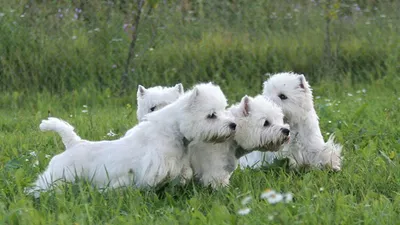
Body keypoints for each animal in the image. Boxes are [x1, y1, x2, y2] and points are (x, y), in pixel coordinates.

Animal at [26, 82, 236, 197]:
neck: (173, 130)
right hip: (59, 175)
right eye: (211, 115)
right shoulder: (153, 167)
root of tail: (72, 143)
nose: (233, 125)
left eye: (224, 109)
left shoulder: (179, 165)